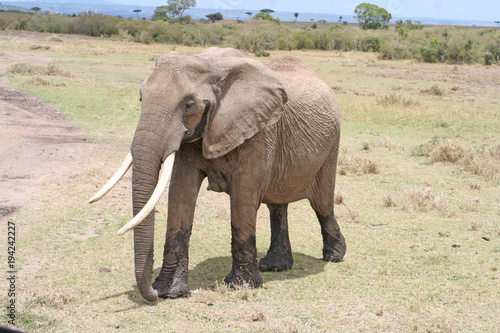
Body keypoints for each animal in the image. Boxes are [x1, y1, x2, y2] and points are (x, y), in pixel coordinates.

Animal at [90, 46, 346, 300]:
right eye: (141, 97)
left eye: (188, 105)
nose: (151, 293)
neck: (210, 65)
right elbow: (181, 194)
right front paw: (169, 291)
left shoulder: (259, 131)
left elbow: (243, 197)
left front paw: (241, 286)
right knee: (276, 206)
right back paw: (275, 266)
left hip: (331, 145)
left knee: (322, 203)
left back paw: (334, 256)